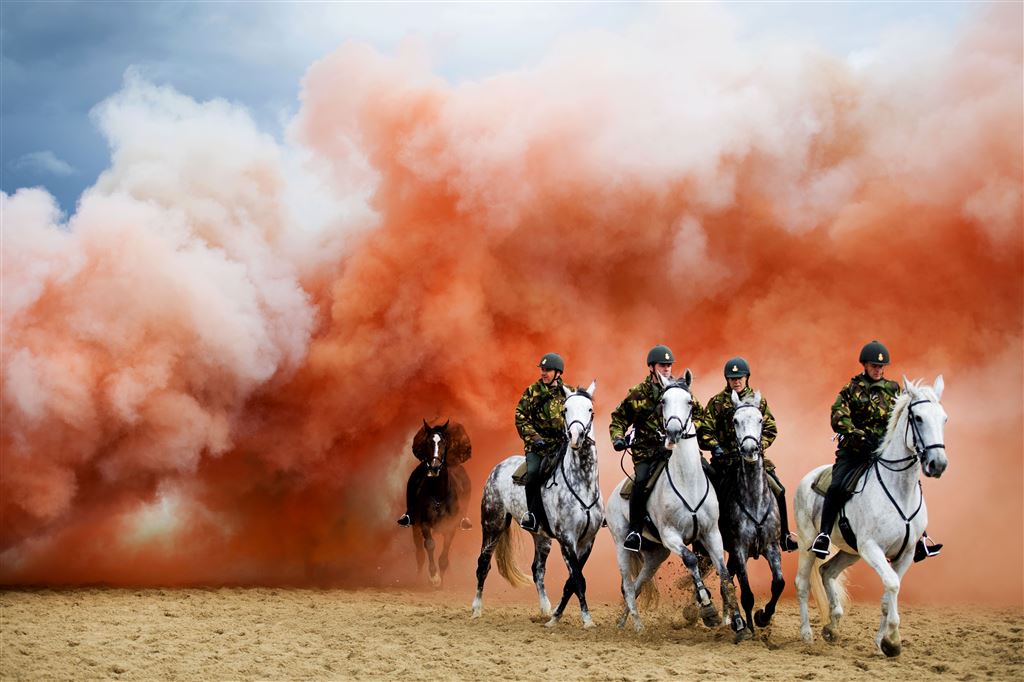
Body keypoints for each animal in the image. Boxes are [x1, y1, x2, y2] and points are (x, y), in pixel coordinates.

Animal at [406, 420, 472, 588]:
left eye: (443, 442)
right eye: (428, 442)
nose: (434, 467)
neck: (438, 494)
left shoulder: (451, 526)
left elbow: (444, 555)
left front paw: (440, 581)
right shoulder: (424, 523)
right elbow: (430, 545)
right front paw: (434, 577)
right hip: (415, 527)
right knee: (419, 553)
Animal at [471, 381, 604, 628]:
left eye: (590, 409)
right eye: (565, 409)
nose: (576, 437)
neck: (582, 482)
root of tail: (498, 467)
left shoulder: (587, 541)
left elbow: (572, 582)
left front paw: (554, 617)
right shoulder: (567, 539)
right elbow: (577, 580)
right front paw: (587, 621)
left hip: (541, 537)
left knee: (538, 570)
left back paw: (544, 608)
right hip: (493, 525)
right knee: (483, 563)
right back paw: (476, 609)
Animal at [606, 371, 745, 639]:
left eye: (689, 402)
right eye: (663, 401)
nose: (672, 432)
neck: (688, 482)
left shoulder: (711, 534)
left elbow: (724, 574)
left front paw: (739, 623)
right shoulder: (671, 536)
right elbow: (691, 560)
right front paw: (708, 609)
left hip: (656, 555)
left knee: (637, 585)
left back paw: (621, 622)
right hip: (622, 546)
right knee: (628, 585)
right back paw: (637, 627)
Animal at [714, 389, 785, 640]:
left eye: (761, 419)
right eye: (735, 420)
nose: (749, 450)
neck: (754, 499)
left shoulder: (772, 547)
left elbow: (779, 584)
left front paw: (763, 617)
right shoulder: (740, 549)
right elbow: (746, 594)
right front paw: (750, 630)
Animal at [793, 376, 948, 656]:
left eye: (944, 419)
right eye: (918, 418)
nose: (938, 464)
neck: (899, 491)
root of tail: (810, 475)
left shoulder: (906, 554)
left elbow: (888, 595)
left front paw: (882, 643)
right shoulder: (872, 548)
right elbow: (892, 585)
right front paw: (893, 641)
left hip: (851, 552)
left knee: (827, 571)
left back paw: (832, 627)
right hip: (807, 543)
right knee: (802, 583)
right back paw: (807, 634)